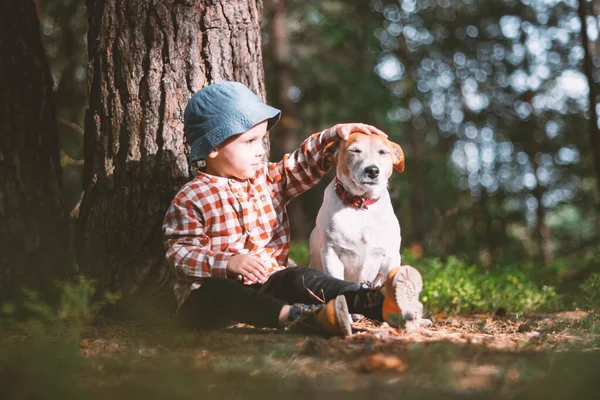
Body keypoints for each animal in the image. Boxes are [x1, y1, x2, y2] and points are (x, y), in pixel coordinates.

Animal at [312, 133, 406, 286]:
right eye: (355, 150)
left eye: (383, 152)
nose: (372, 170)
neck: (361, 205)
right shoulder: (331, 254)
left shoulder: (390, 258)